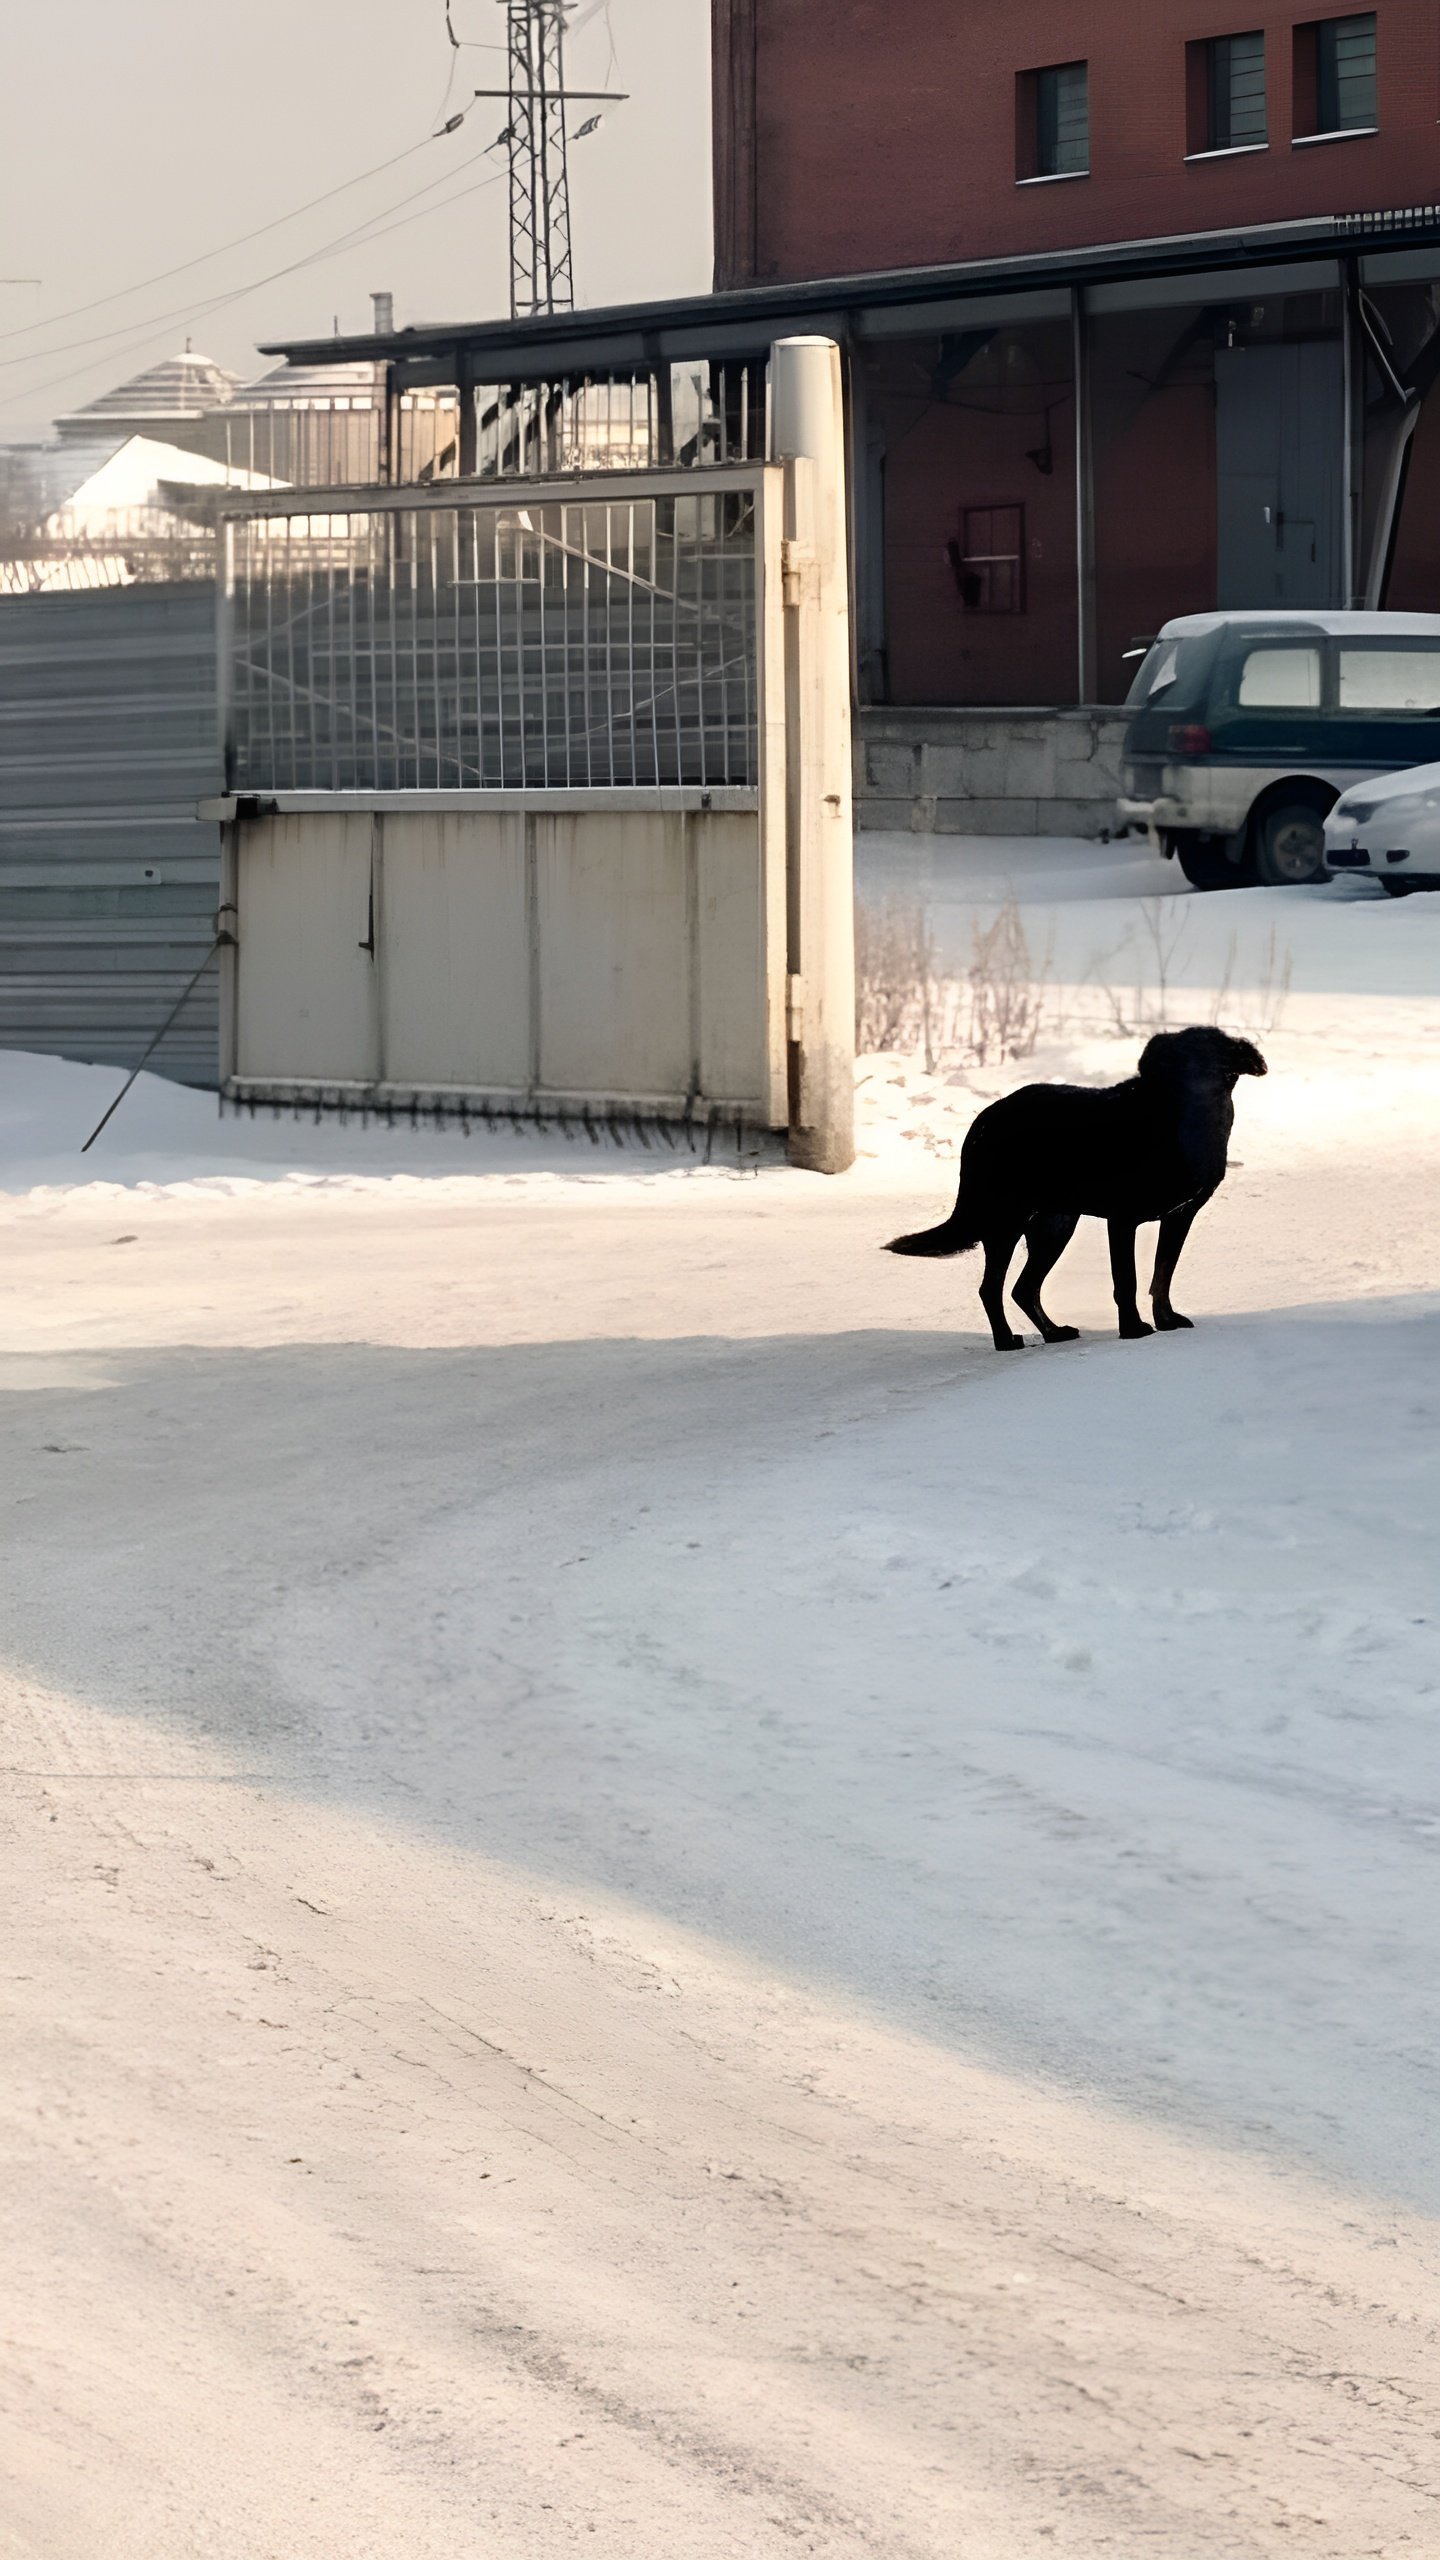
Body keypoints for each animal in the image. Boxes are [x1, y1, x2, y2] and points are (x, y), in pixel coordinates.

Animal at [881, 1024, 1260, 1351]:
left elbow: (1162, 1274)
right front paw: (1133, 1330)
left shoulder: (1179, 1217)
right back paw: (1006, 1341)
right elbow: (1127, 1280)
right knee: (991, 1289)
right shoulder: (1122, 1219)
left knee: (1023, 1289)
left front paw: (1165, 1321)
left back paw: (1053, 1333)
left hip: (1054, 1224)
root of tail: (984, 1121)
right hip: (1007, 1222)